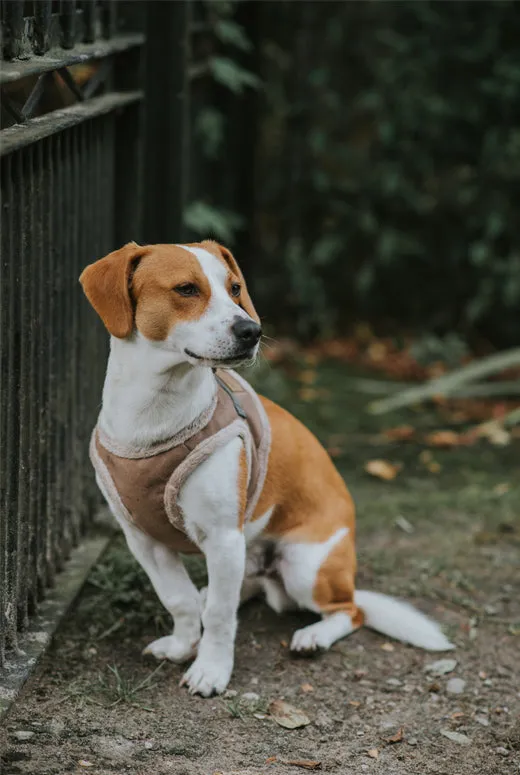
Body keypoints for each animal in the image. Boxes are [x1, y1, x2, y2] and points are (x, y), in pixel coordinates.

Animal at [79, 241, 452, 696]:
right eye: (186, 289)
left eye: (235, 288)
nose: (251, 331)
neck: (155, 415)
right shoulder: (144, 540)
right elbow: (179, 600)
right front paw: (184, 645)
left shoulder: (223, 537)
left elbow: (220, 617)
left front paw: (211, 669)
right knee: (233, 589)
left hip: (304, 567)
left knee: (350, 611)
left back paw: (314, 636)